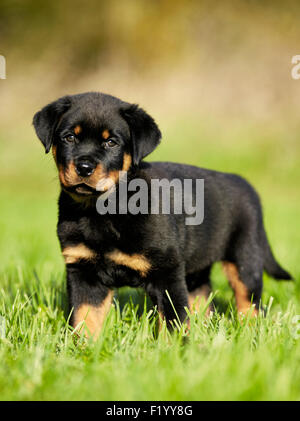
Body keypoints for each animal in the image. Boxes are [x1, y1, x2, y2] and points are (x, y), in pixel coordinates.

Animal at [32, 91, 290, 338]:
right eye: (69, 137)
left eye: (111, 142)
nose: (84, 167)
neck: (102, 210)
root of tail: (244, 183)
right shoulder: (83, 271)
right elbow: (85, 319)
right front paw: (84, 348)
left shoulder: (167, 271)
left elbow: (173, 319)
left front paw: (174, 347)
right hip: (196, 267)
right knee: (201, 297)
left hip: (245, 257)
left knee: (249, 302)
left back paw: (250, 332)